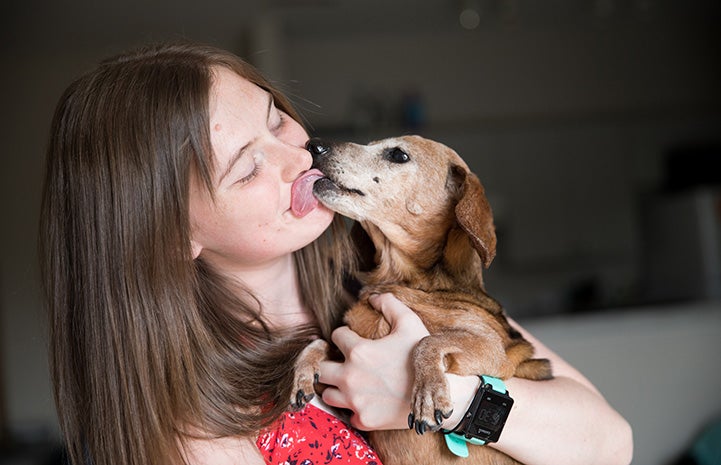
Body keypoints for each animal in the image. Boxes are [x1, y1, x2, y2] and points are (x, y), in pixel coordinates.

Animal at [292, 135, 552, 464]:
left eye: (398, 154)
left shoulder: (492, 350)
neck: (408, 284)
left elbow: (427, 341)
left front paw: (428, 394)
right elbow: (320, 341)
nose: (314, 144)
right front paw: (302, 372)